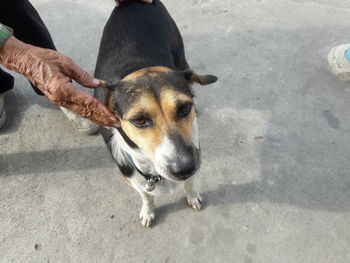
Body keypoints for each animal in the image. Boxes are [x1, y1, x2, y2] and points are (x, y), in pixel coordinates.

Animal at [94, 0, 217, 229]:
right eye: (139, 120)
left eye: (184, 108)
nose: (184, 167)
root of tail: (131, 2)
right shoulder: (133, 178)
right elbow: (145, 195)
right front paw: (148, 211)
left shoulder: (194, 149)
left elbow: (190, 183)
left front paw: (192, 196)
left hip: (179, 52)